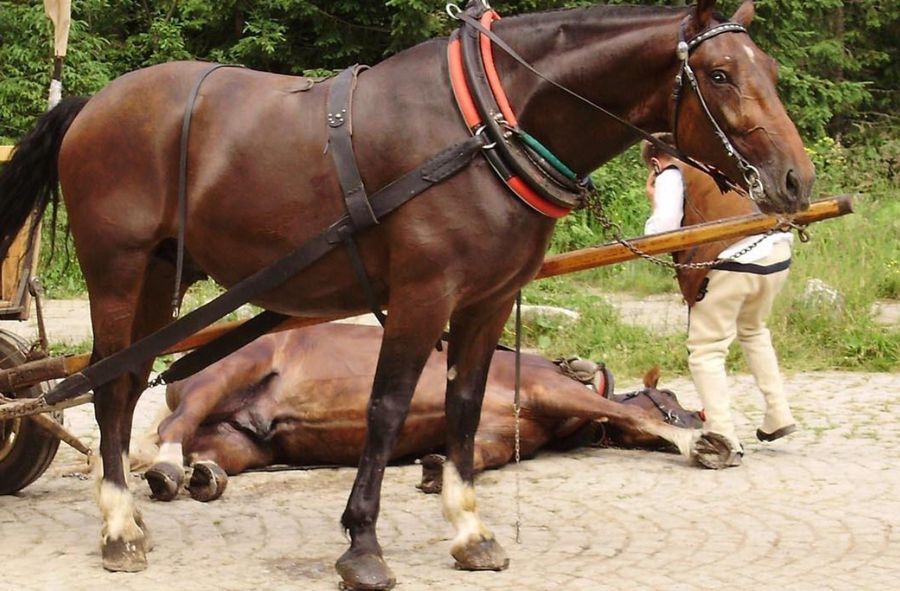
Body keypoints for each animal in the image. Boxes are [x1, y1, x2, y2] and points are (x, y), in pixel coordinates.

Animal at [144, 322, 704, 502]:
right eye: (673, 400)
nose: (700, 416)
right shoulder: (547, 390)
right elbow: (628, 414)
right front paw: (703, 444)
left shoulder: (496, 436)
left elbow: (474, 457)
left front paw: (437, 469)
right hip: (235, 369)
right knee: (172, 428)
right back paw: (169, 468)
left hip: (241, 441)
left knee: (207, 453)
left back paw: (202, 476)